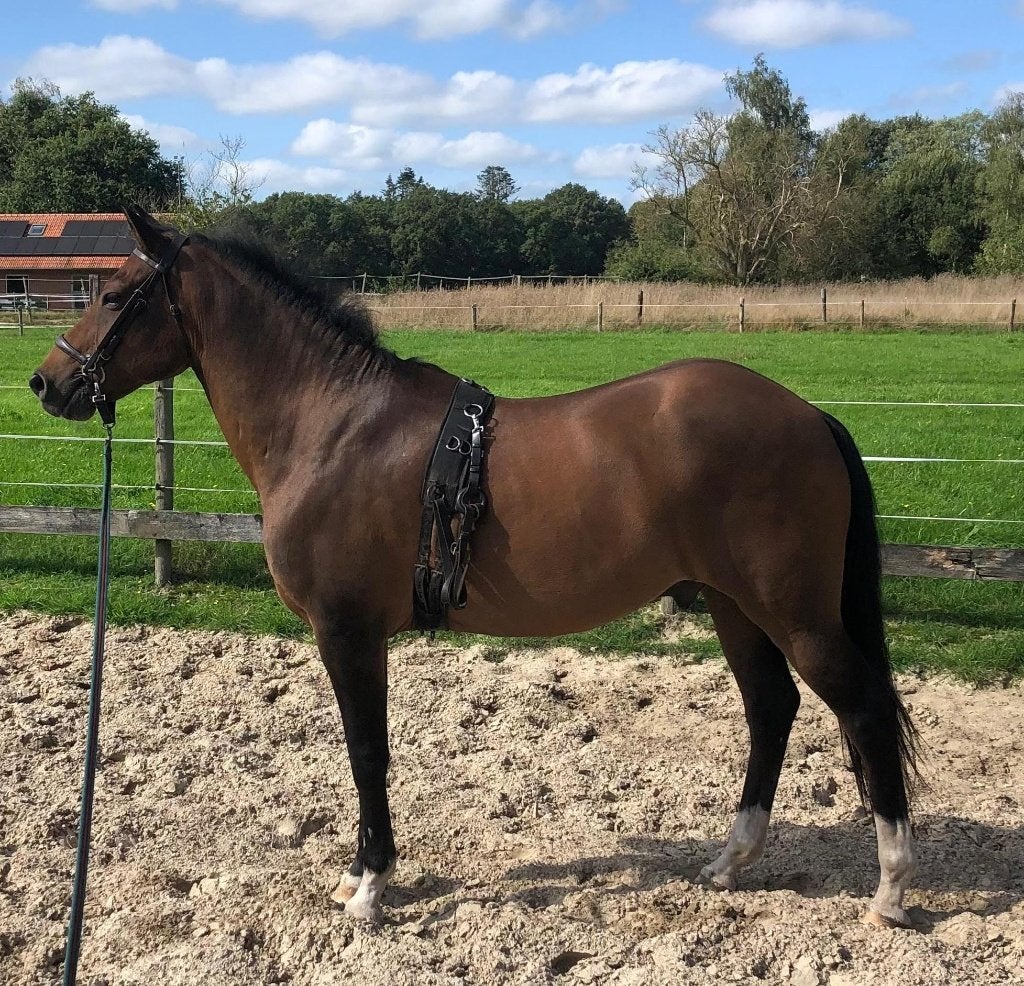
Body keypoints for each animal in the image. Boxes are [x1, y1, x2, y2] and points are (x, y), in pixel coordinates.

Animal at [29, 206, 919, 928]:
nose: (47, 382)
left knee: (865, 710)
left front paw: (370, 886)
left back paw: (890, 888)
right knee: (771, 709)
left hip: (794, 612)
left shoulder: (347, 631)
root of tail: (807, 415)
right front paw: (360, 874)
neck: (333, 423)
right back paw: (732, 861)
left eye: (113, 295)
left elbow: (367, 750)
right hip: (735, 606)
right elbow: (365, 750)